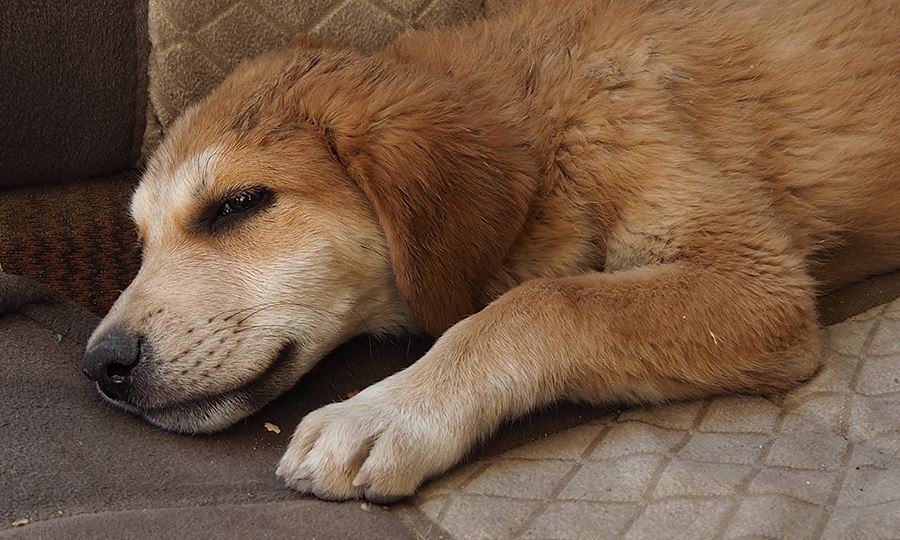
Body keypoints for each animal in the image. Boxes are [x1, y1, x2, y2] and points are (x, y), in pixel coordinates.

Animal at [81, 0, 896, 504]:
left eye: (238, 204)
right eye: (141, 240)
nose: (102, 366)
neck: (551, 111)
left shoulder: (758, 282)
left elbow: (544, 303)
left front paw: (388, 412)